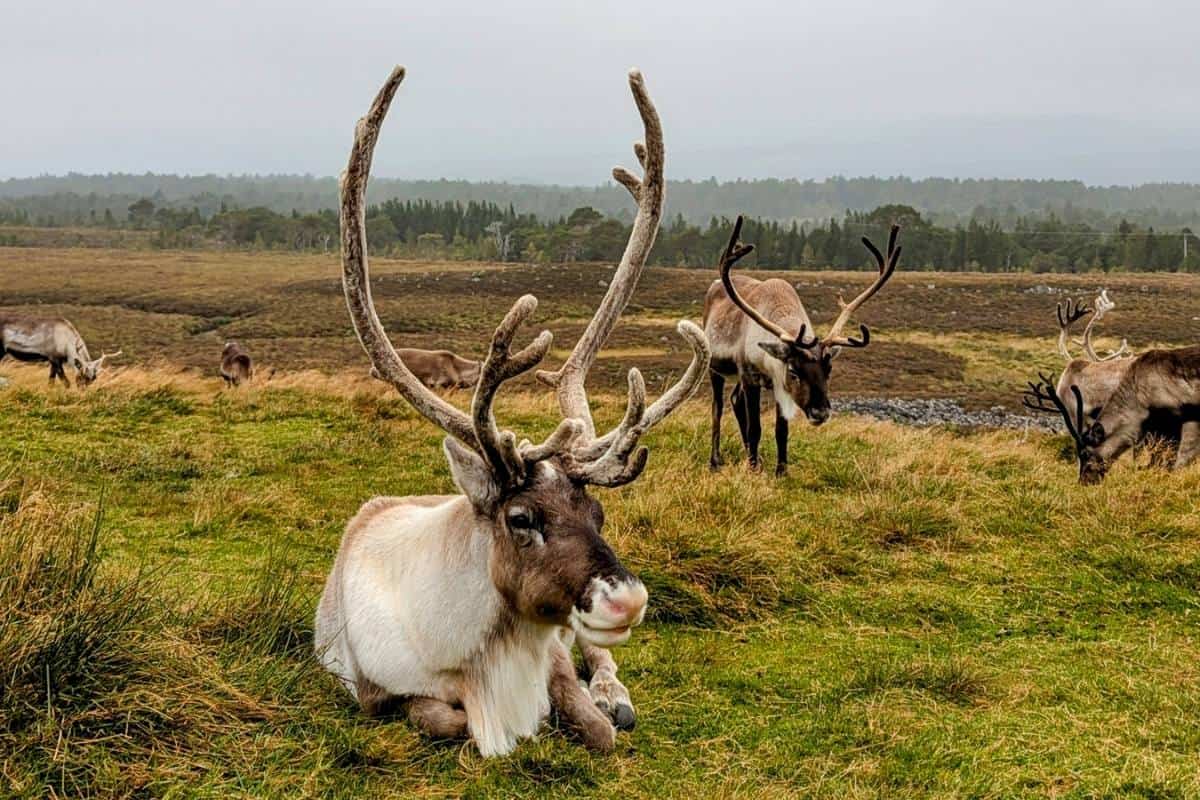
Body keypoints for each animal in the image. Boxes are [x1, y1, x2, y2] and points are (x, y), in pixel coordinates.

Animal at [315, 65, 708, 757]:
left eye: (599, 514)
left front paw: (598, 708)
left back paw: (615, 690)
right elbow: (442, 720)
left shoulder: (552, 653)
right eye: (521, 518)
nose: (628, 600)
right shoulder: (372, 691)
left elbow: (595, 724)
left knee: (599, 658)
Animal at [703, 217, 900, 475]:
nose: (820, 412)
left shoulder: (777, 383)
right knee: (717, 407)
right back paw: (716, 460)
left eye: (829, 370)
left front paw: (781, 471)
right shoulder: (750, 375)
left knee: (735, 400)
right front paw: (754, 469)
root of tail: (714, 286)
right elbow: (755, 428)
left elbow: (781, 431)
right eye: (794, 371)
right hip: (715, 367)